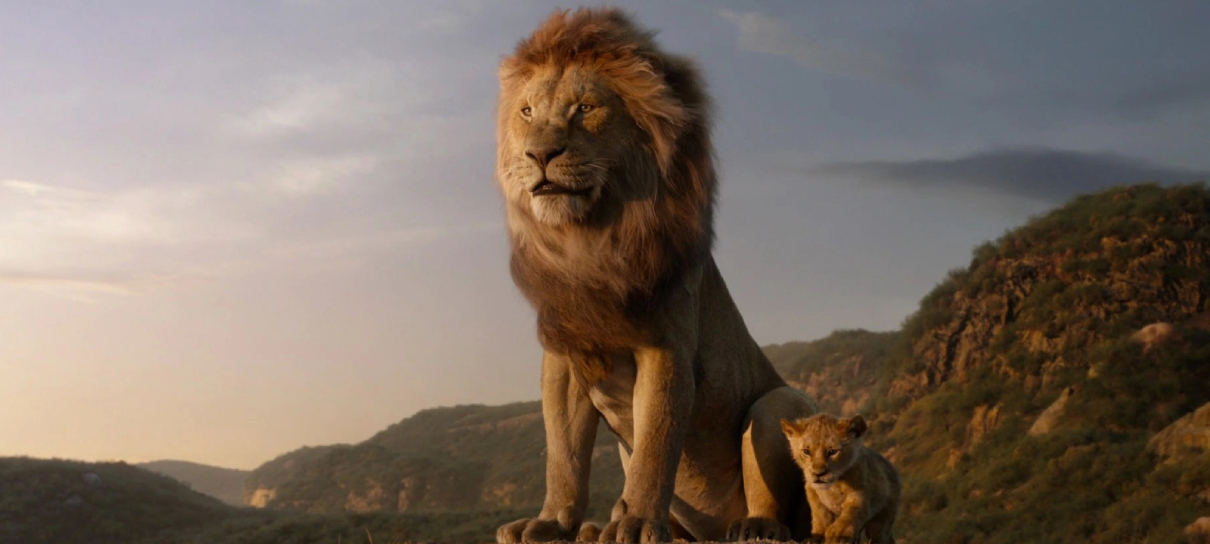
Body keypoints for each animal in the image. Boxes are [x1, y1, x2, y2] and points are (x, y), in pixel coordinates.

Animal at [492, 8, 817, 544]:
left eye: (585, 108)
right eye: (526, 112)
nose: (539, 154)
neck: (590, 242)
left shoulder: (665, 346)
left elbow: (656, 444)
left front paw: (639, 522)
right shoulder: (565, 356)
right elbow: (563, 454)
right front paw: (551, 522)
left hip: (779, 403)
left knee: (775, 500)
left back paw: (753, 527)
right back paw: (594, 528)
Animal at [780, 415, 900, 544]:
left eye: (832, 452)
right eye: (806, 451)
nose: (818, 474)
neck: (833, 485)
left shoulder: (860, 493)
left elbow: (849, 514)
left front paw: (837, 534)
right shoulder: (812, 492)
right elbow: (820, 516)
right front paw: (816, 537)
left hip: (883, 517)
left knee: (879, 535)